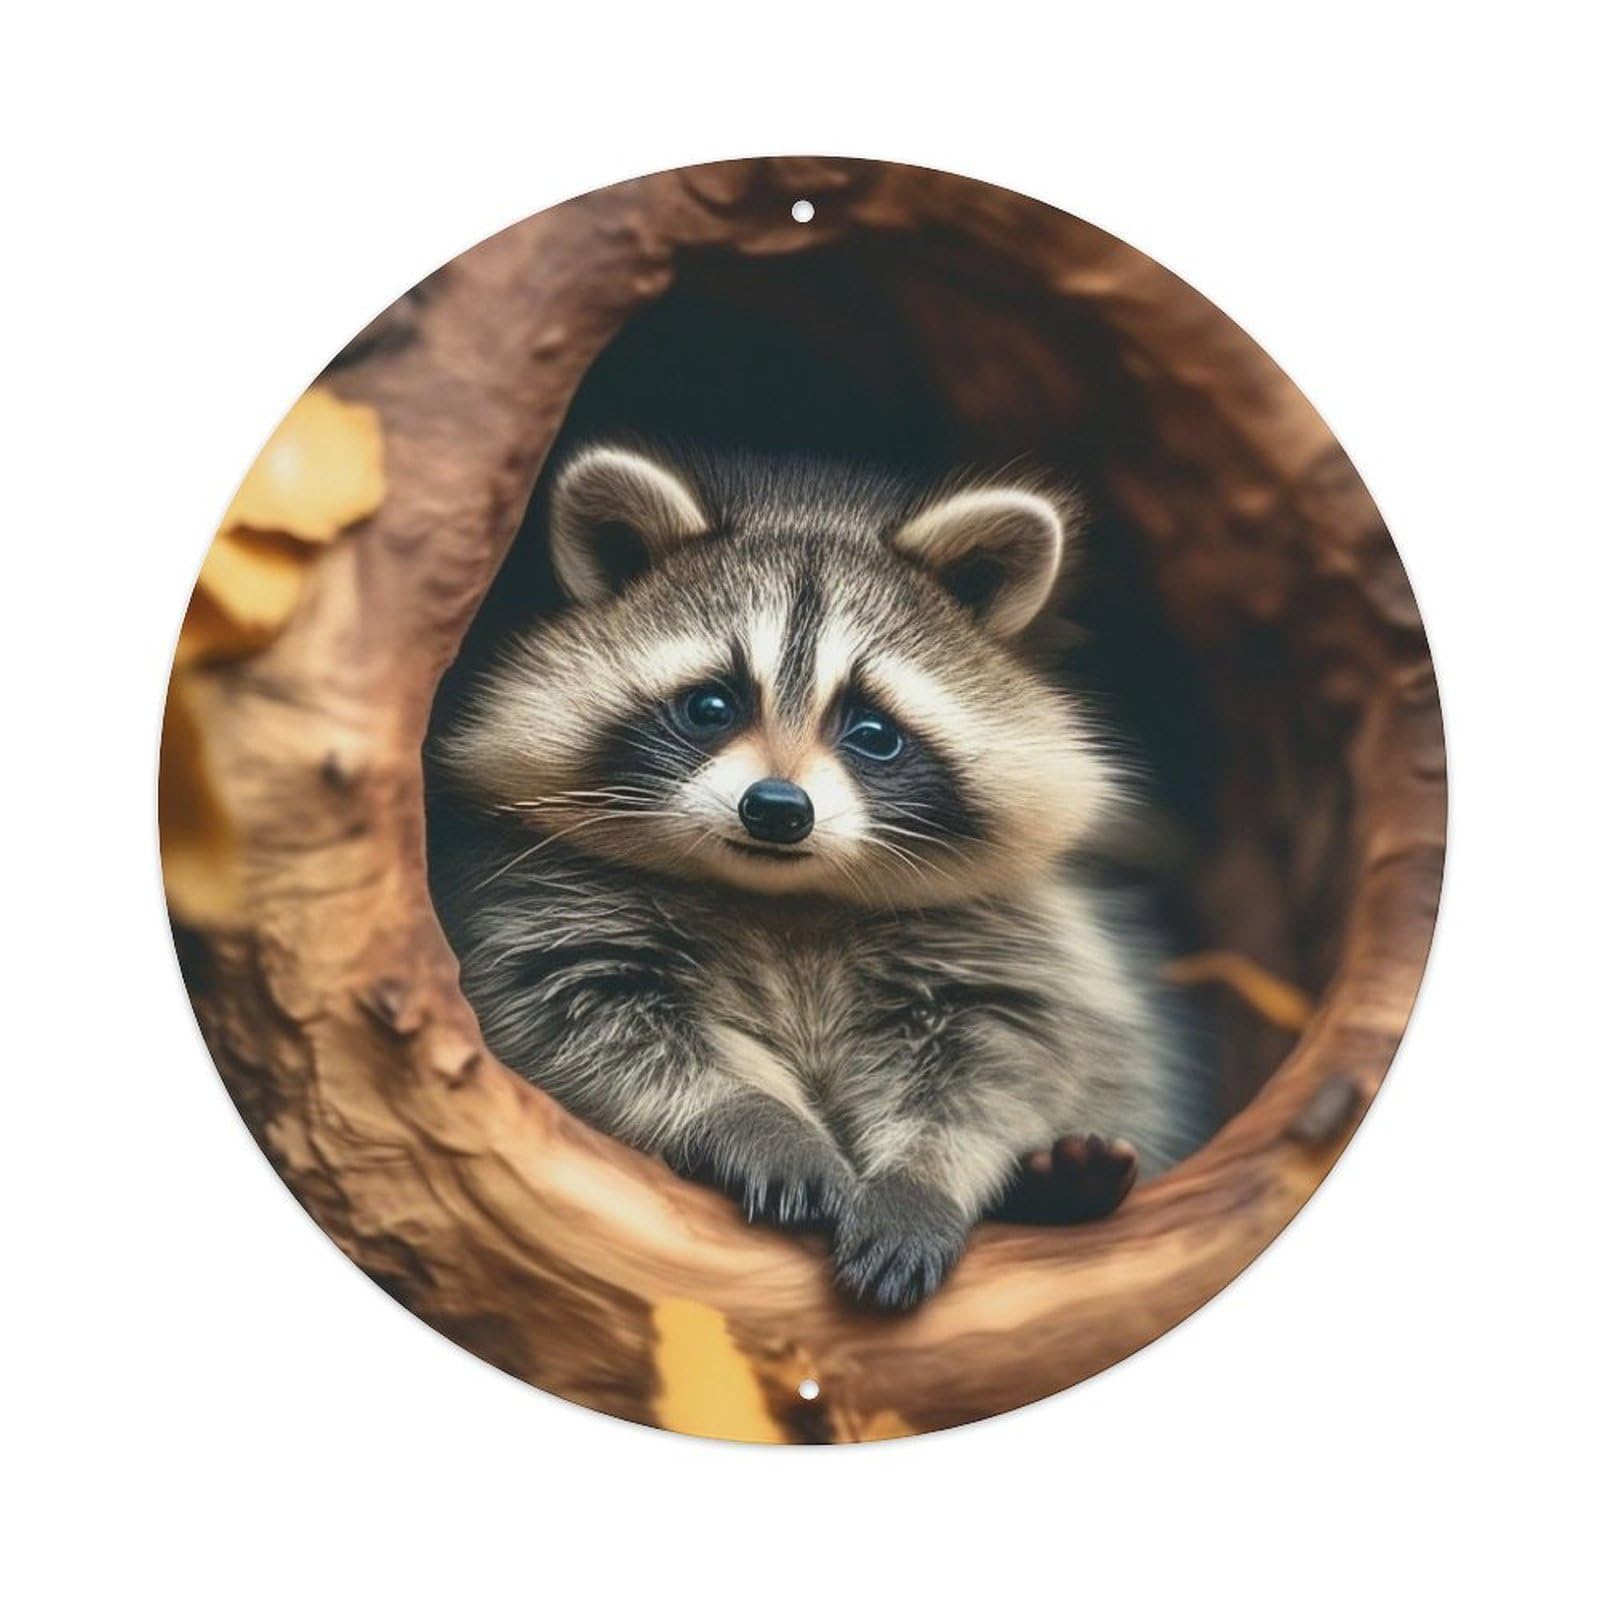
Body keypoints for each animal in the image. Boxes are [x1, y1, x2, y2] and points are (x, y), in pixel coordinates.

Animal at [428, 442, 1200, 1309]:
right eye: (710, 707)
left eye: (872, 731)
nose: (776, 809)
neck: (785, 898)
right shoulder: (543, 908)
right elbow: (591, 1026)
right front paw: (759, 1118)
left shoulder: (1001, 944)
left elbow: (992, 1064)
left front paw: (921, 1178)